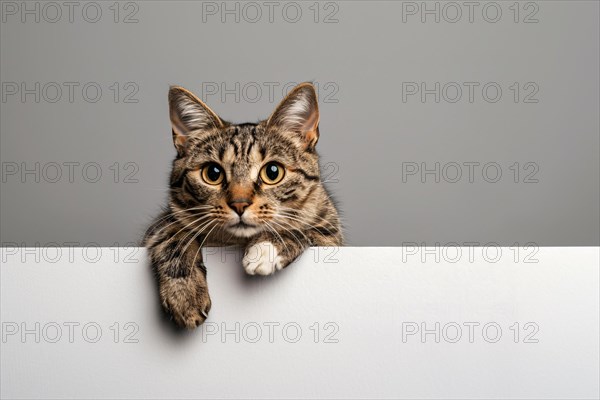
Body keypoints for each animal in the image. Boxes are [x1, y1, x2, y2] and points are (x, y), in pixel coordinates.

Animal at [142, 81, 342, 328]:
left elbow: (303, 228)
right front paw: (184, 294)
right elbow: (173, 235)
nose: (239, 204)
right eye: (213, 173)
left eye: (273, 172)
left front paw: (265, 249)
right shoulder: (158, 226)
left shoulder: (332, 235)